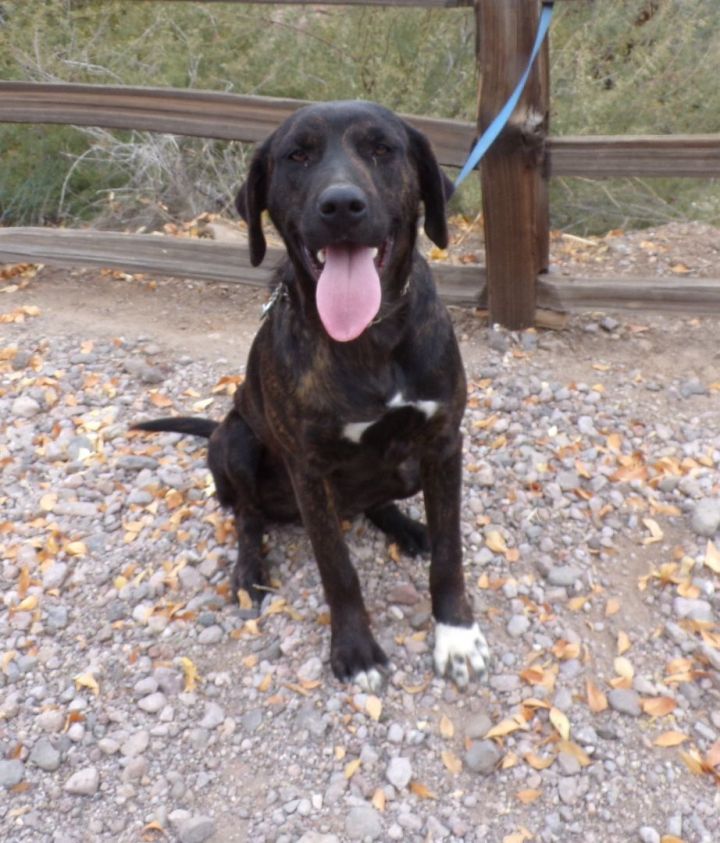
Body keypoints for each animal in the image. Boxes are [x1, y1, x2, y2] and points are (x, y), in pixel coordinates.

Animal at [131, 100, 490, 692]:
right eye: (297, 156)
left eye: (382, 149)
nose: (341, 204)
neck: (369, 338)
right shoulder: (309, 468)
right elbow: (336, 569)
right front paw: (356, 650)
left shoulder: (443, 443)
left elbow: (450, 552)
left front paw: (456, 635)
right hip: (235, 441)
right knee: (248, 515)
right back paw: (249, 569)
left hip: (406, 469)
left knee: (376, 499)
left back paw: (405, 527)